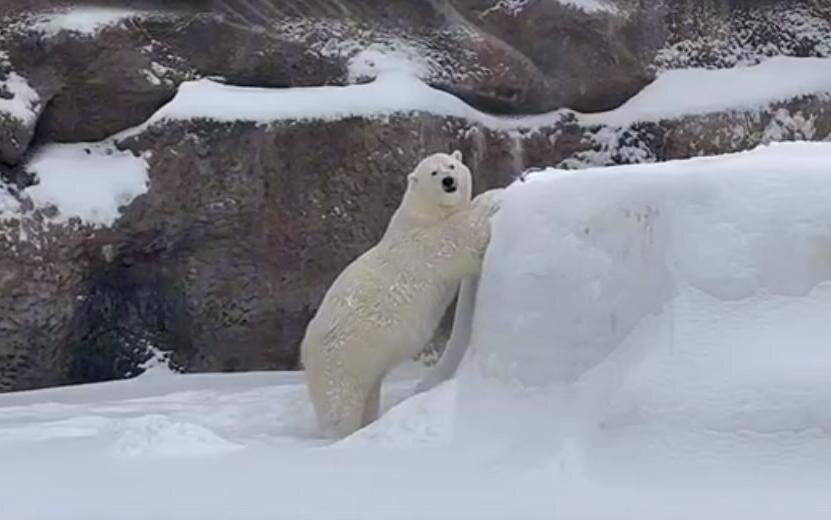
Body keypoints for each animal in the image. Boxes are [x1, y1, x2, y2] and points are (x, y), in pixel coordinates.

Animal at [304, 151, 500, 438]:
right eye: (433, 172)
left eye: (451, 165)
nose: (449, 181)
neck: (422, 213)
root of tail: (306, 349)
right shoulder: (424, 241)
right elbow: (457, 238)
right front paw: (491, 198)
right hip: (341, 358)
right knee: (339, 403)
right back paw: (345, 435)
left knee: (368, 393)